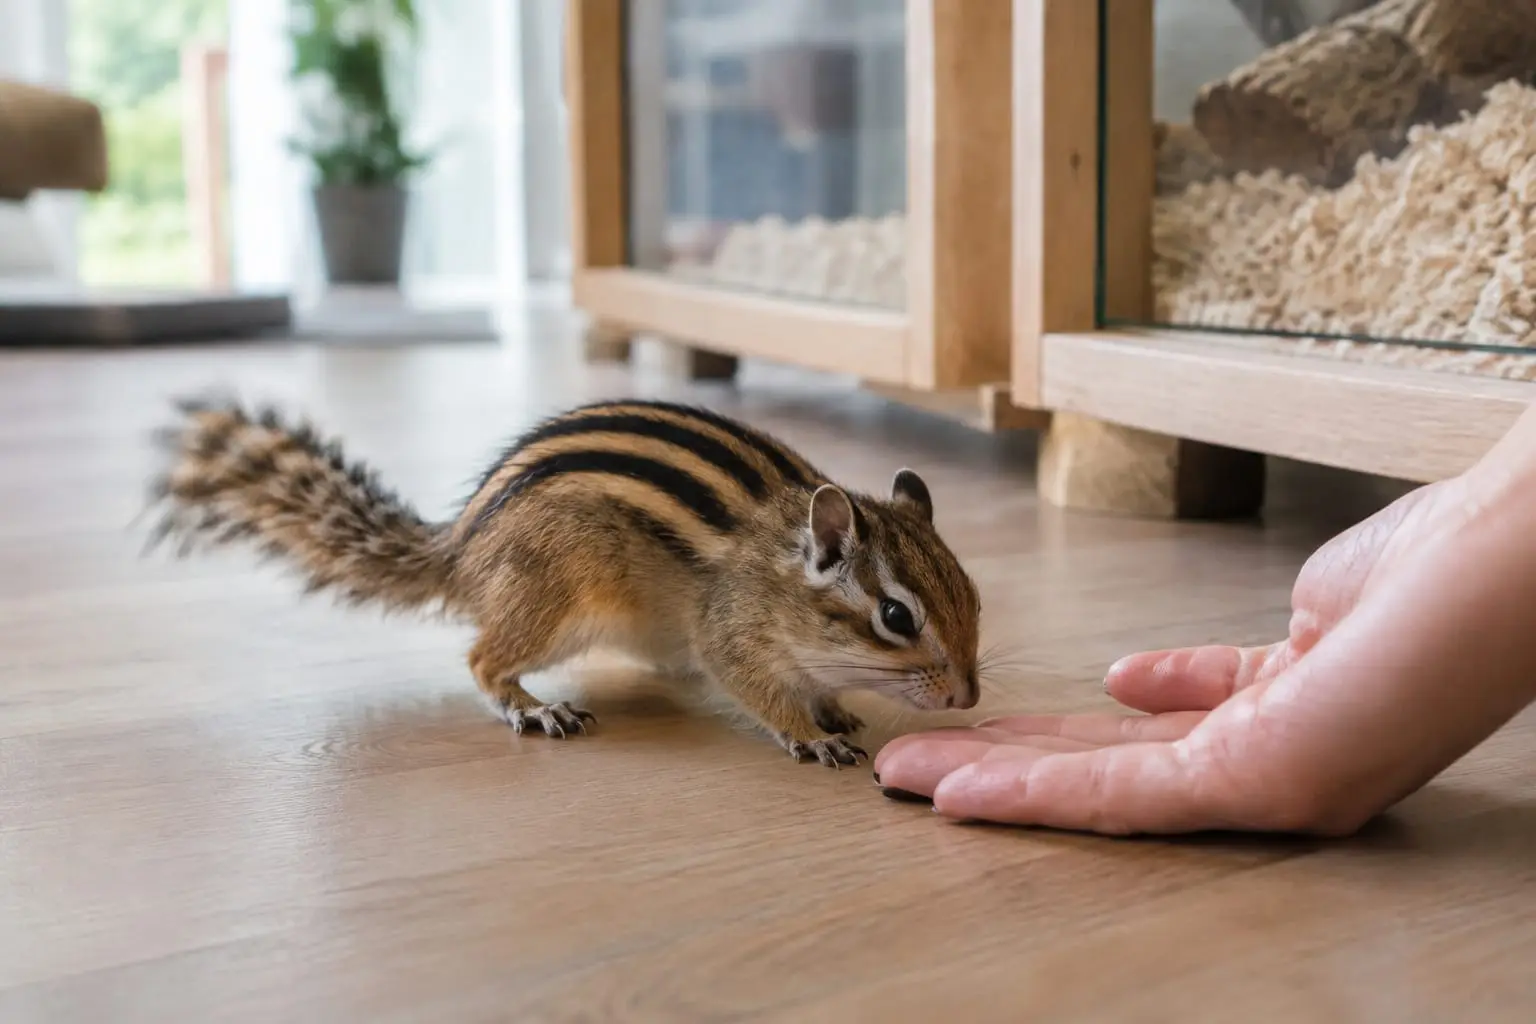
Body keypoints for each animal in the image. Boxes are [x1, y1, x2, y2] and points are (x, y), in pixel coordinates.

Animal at [146, 396, 982, 767]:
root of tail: (461, 547)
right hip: (558, 597)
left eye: (974, 599)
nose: (968, 699)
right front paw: (811, 733)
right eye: (897, 617)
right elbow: (754, 686)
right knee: (484, 658)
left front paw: (833, 707)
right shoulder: (731, 632)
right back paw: (533, 707)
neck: (779, 566)